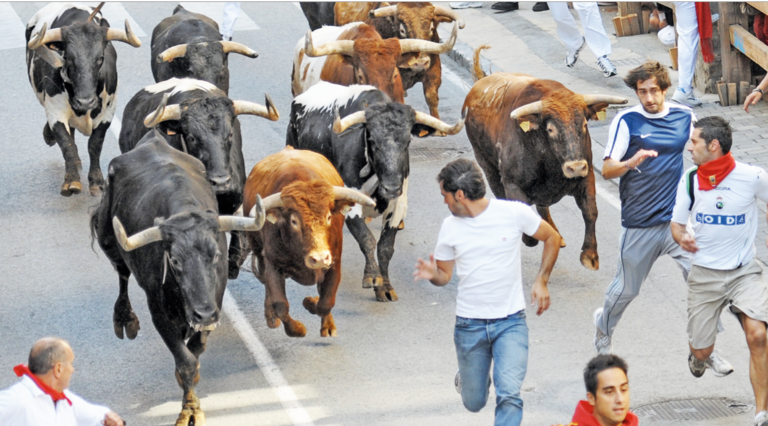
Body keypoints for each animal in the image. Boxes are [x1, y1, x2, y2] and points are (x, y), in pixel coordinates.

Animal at [240, 148, 372, 338]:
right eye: (294, 221)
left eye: (329, 217)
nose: (319, 258)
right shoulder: (273, 265)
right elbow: (280, 304)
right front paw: (297, 329)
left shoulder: (333, 264)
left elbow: (325, 302)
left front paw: (311, 303)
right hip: (258, 251)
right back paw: (270, 317)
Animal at [460, 45, 628, 270]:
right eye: (550, 129)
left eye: (584, 124)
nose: (575, 167)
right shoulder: (512, 184)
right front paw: (527, 237)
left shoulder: (588, 174)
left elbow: (590, 211)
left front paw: (590, 255)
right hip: (487, 166)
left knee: (542, 206)